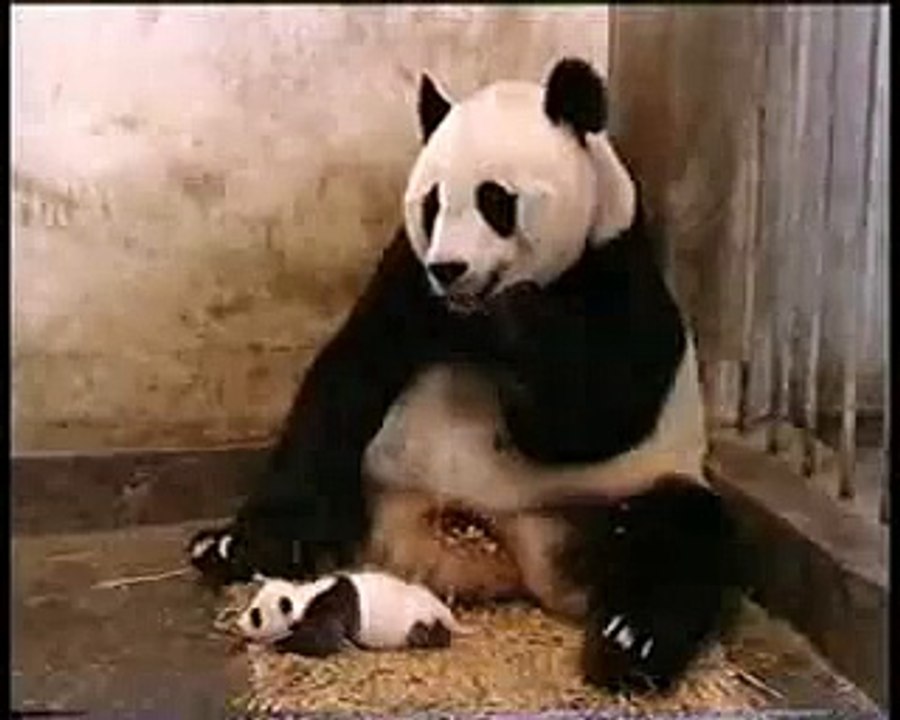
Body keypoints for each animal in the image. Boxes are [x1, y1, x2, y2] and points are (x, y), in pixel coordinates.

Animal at [189, 58, 738, 693]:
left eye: (495, 199)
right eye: (431, 203)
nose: (450, 268)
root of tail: (490, 549)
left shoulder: (616, 270)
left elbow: (593, 417)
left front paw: (519, 318)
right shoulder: (407, 273)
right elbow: (350, 374)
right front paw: (249, 539)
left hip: (610, 496)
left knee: (683, 533)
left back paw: (629, 640)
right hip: (375, 480)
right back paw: (235, 549)